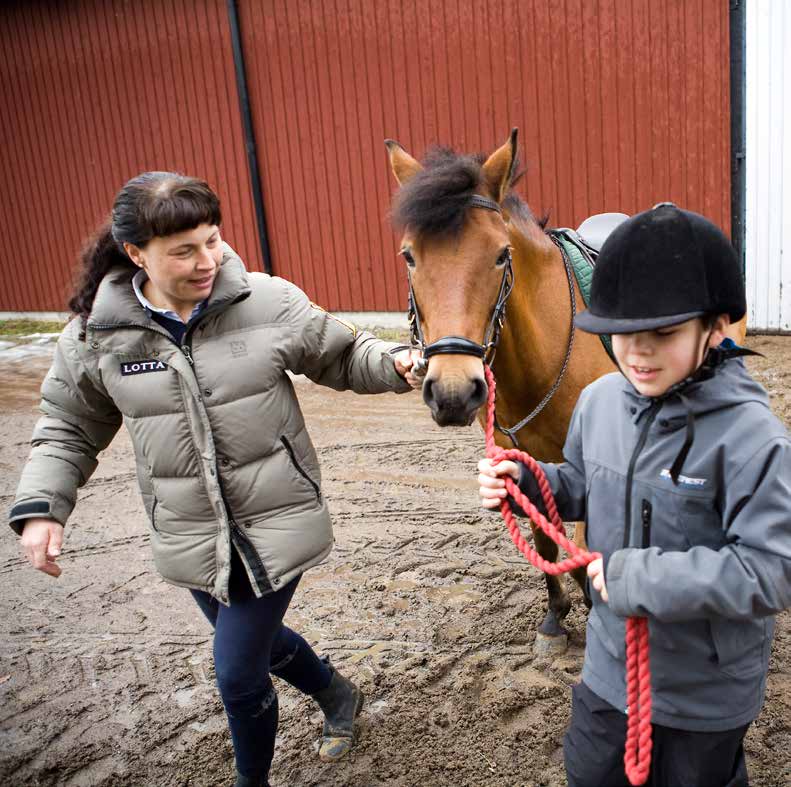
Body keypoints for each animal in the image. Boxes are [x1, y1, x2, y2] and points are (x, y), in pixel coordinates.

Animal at [386, 132, 744, 656]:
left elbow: (586, 537)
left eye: (501, 253)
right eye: (409, 256)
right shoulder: (520, 456)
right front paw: (555, 617)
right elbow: (546, 537)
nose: (452, 392)